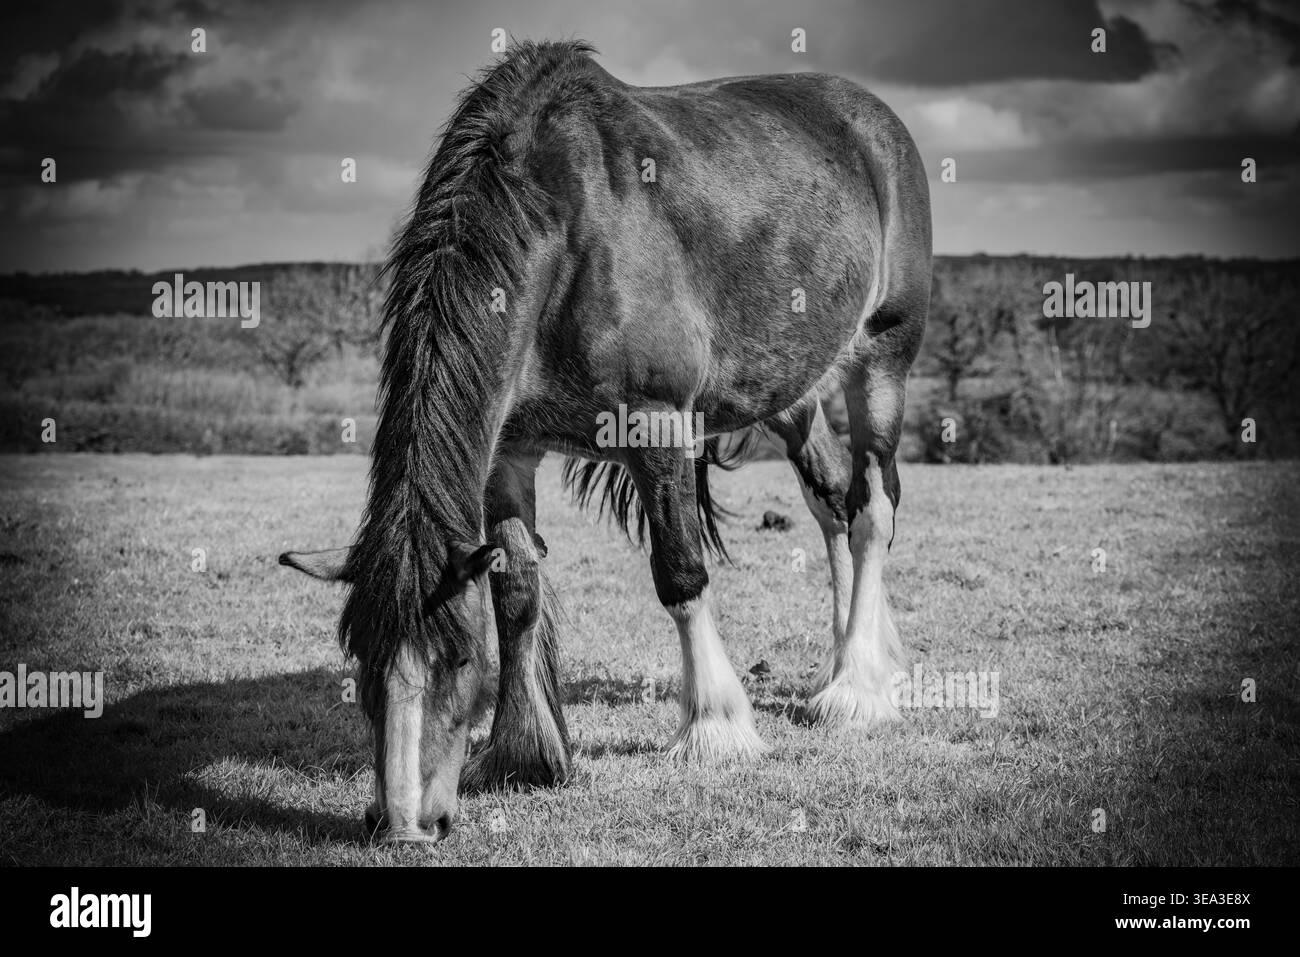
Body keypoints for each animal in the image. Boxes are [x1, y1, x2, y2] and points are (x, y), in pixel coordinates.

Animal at [280, 39, 931, 844]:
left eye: (458, 660)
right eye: (362, 661)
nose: (403, 823)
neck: (566, 233)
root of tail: (874, 120)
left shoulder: (656, 425)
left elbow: (681, 575)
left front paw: (715, 730)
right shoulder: (508, 451)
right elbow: (515, 588)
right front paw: (526, 753)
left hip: (880, 361)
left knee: (874, 508)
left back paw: (859, 692)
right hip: (794, 391)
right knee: (834, 498)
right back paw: (848, 666)